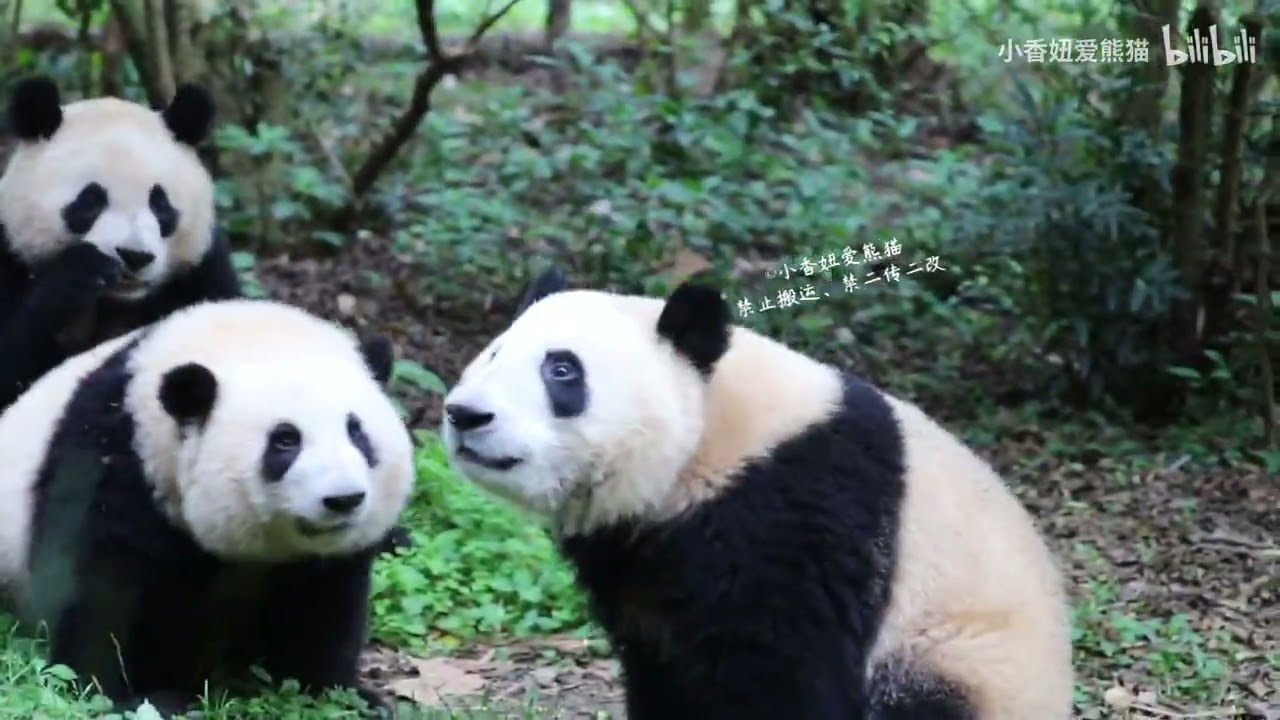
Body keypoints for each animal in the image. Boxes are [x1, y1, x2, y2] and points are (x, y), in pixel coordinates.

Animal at [0, 75, 240, 412]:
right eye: (90, 200)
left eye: (160, 204)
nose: (135, 256)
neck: (115, 302)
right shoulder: (8, 253)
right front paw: (82, 272)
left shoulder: (202, 270)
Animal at [0, 299, 415, 717]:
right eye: (285, 441)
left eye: (357, 432)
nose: (344, 499)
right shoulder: (112, 455)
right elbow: (97, 588)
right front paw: (119, 695)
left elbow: (324, 607)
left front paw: (345, 695)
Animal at [440, 266, 1074, 720]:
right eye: (494, 353)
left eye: (562, 372)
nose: (466, 415)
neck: (714, 440)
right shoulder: (639, 564)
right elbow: (664, 675)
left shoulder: (797, 511)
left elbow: (783, 677)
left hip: (967, 659)